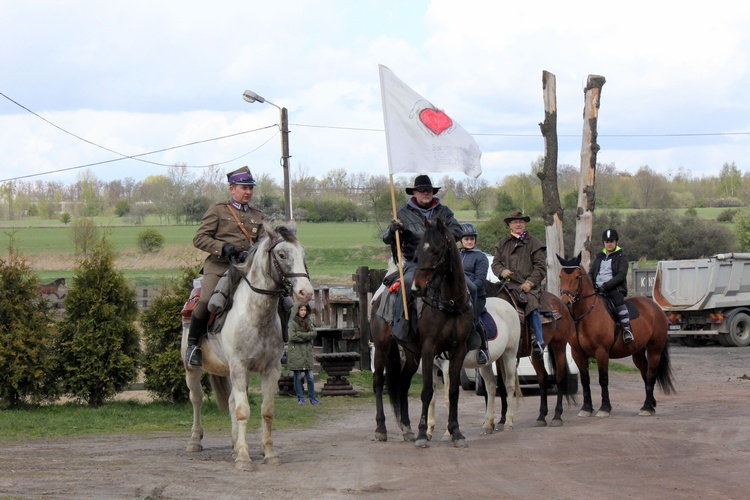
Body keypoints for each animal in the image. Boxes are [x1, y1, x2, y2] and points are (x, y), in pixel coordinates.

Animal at [182, 221, 314, 470]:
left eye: (303, 254)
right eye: (282, 254)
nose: (306, 292)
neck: (257, 314)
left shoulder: (271, 369)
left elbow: (266, 411)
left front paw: (268, 453)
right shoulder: (240, 366)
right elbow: (243, 411)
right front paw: (244, 458)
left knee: (231, 401)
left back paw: (234, 444)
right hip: (192, 369)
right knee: (196, 399)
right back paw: (195, 440)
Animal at [372, 219, 472, 450]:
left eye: (436, 251)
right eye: (418, 252)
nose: (417, 288)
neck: (450, 303)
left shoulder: (459, 350)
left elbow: (453, 392)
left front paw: (456, 432)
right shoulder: (429, 349)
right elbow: (427, 391)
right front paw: (422, 434)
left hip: (411, 354)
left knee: (402, 382)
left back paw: (406, 427)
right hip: (382, 346)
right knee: (378, 381)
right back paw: (381, 428)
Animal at [428, 294, 524, 440]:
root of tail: (508, 305)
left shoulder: (447, 367)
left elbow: (448, 398)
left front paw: (448, 433)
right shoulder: (431, 366)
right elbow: (431, 398)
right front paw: (428, 432)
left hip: (510, 353)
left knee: (509, 385)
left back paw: (508, 423)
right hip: (486, 363)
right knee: (491, 386)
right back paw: (487, 425)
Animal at [560, 254, 676, 418]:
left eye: (577, 277)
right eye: (560, 276)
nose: (566, 302)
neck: (585, 316)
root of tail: (655, 307)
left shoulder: (601, 352)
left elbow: (603, 379)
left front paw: (604, 408)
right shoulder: (578, 353)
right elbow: (585, 380)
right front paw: (586, 408)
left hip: (655, 349)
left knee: (651, 374)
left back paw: (646, 407)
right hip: (638, 352)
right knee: (645, 374)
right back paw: (651, 404)